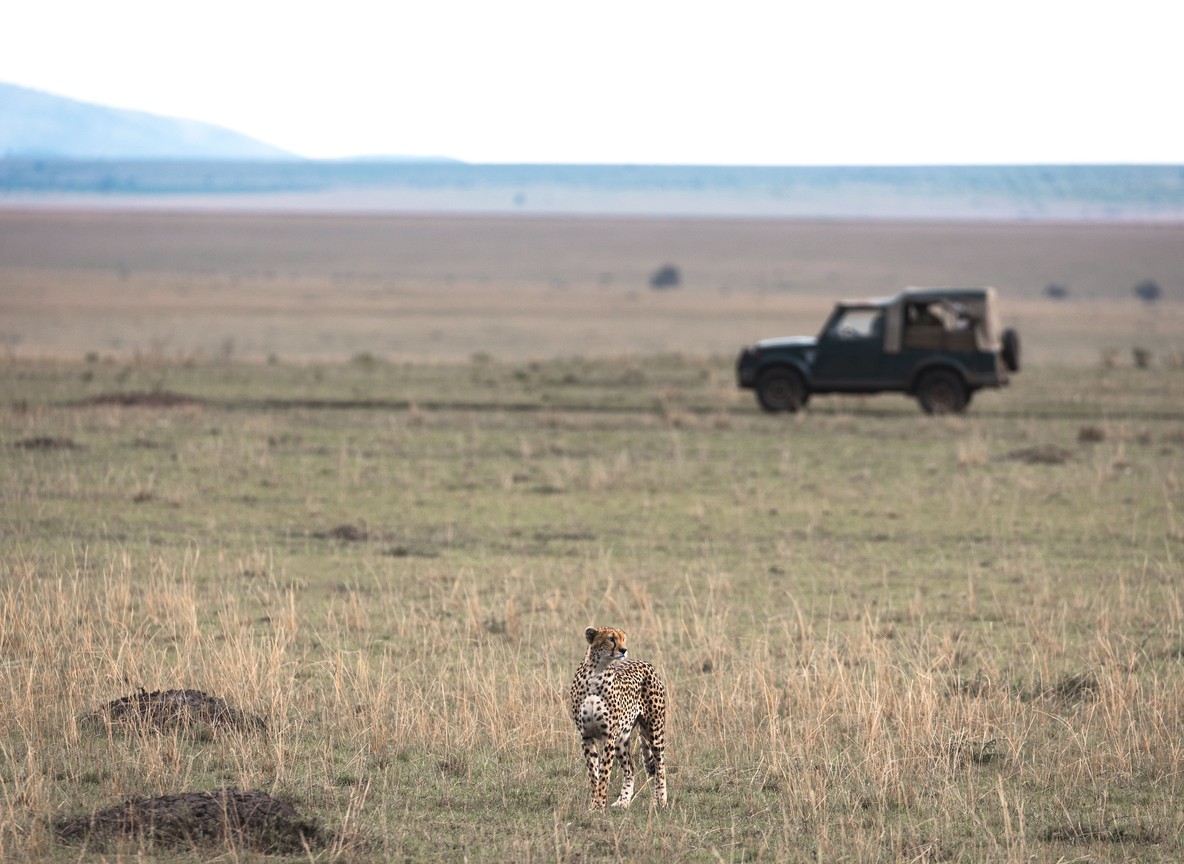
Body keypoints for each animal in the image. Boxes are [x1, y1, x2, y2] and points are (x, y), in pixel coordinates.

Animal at [568, 625, 668, 810]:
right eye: (611, 638)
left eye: (623, 639)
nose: (624, 650)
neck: (597, 671)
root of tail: (645, 662)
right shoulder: (586, 736)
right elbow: (594, 774)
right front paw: (594, 804)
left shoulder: (609, 736)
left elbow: (604, 773)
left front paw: (599, 805)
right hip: (622, 739)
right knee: (630, 768)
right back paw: (623, 801)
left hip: (655, 730)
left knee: (660, 766)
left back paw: (661, 801)